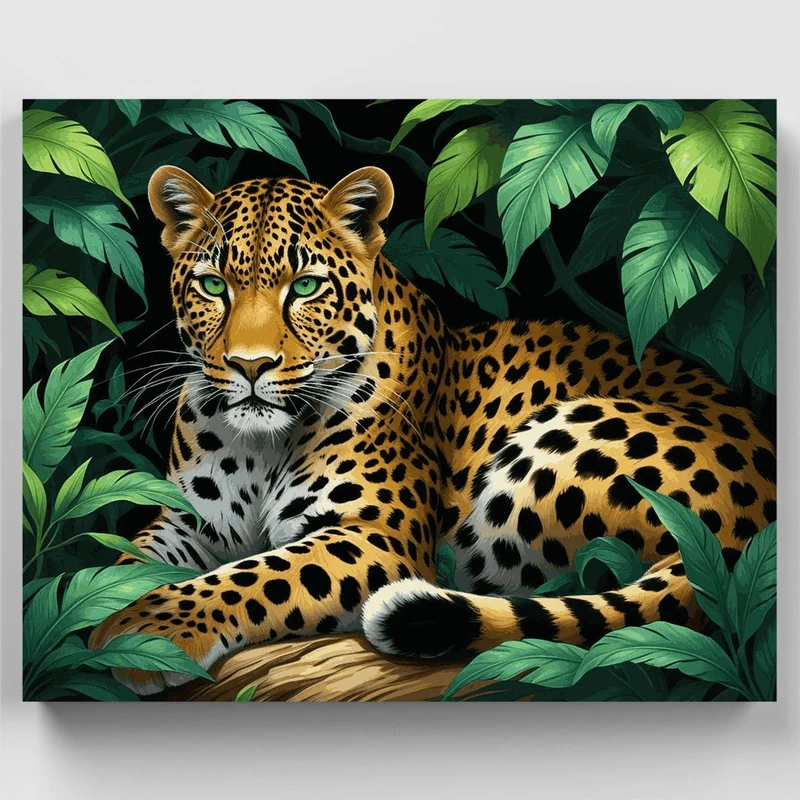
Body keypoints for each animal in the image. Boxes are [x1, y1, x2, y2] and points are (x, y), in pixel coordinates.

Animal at [90, 164, 777, 695]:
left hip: (548, 455)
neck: (263, 444)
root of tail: (748, 526)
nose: (250, 366)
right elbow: (131, 558)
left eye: (305, 286)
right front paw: (110, 612)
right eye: (212, 285)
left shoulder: (374, 536)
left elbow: (253, 577)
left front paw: (146, 632)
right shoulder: (190, 522)